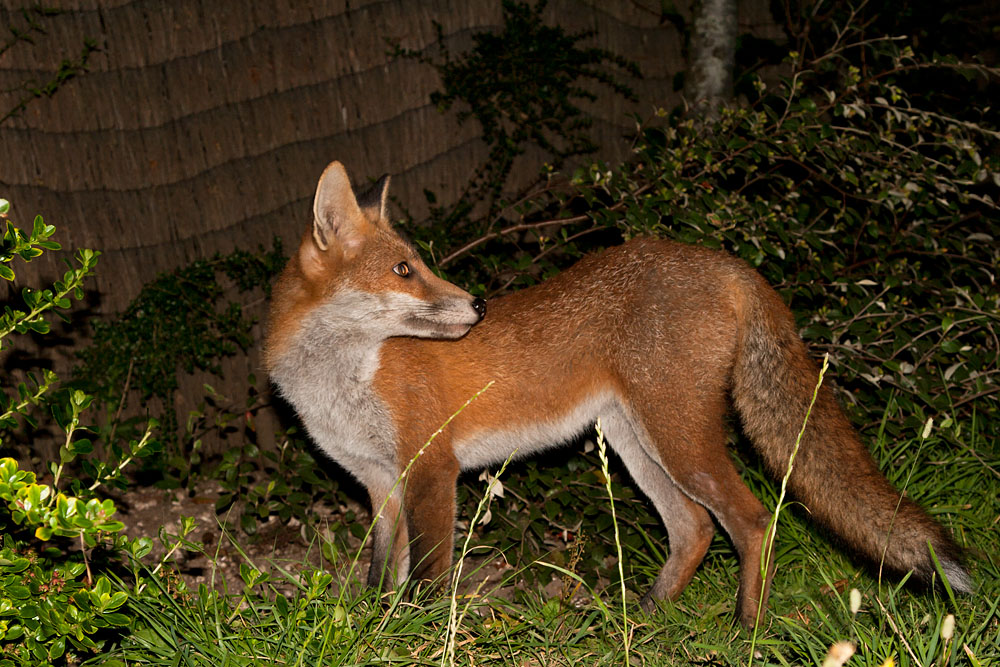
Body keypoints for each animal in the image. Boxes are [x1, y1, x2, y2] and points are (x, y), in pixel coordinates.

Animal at [264, 160, 971, 628]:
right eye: (403, 270)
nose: (479, 305)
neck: (339, 381)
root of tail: (722, 260)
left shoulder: (432, 468)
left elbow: (429, 580)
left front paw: (418, 632)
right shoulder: (380, 482)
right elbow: (381, 574)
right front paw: (373, 625)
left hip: (677, 436)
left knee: (751, 519)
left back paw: (746, 629)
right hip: (634, 440)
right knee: (693, 528)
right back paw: (647, 621)